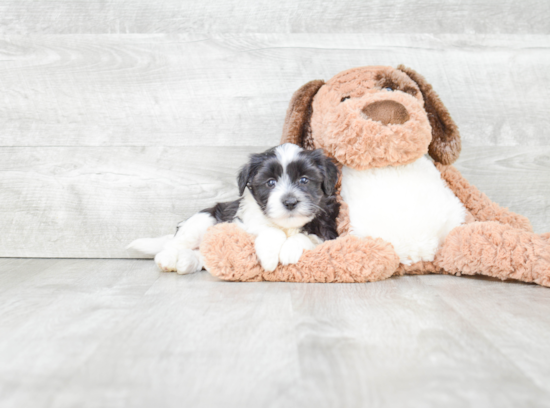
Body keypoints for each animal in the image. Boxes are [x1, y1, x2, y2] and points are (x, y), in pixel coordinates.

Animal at [128, 143, 340, 274]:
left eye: (304, 180)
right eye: (270, 183)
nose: (289, 202)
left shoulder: (328, 231)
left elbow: (308, 237)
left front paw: (290, 250)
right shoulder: (247, 222)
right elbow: (270, 230)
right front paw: (269, 256)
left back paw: (186, 262)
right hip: (202, 221)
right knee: (172, 245)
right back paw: (168, 259)